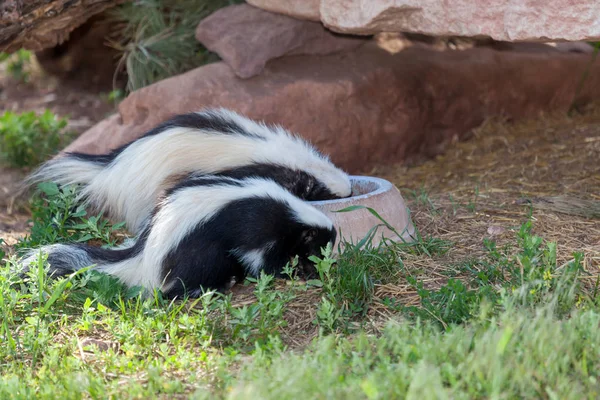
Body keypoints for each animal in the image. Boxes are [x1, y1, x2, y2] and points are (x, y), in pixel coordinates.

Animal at [19, 175, 338, 296]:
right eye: (320, 247)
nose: (327, 264)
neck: (290, 209)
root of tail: (144, 258)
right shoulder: (257, 227)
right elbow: (262, 259)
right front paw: (291, 272)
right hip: (197, 252)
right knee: (182, 282)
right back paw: (211, 287)